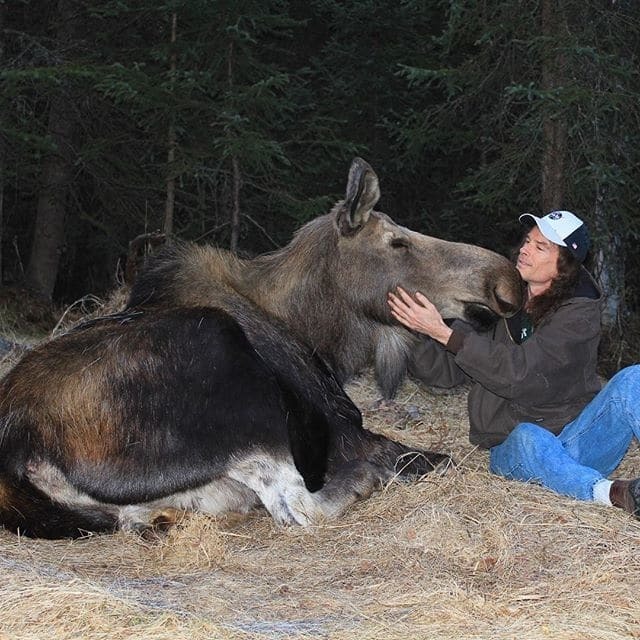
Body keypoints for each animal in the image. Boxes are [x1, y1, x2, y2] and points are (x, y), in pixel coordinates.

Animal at [0, 158, 520, 536]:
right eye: (397, 242)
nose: (505, 282)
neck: (317, 333)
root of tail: (19, 450)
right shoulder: (341, 429)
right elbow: (429, 458)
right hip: (234, 381)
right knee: (301, 507)